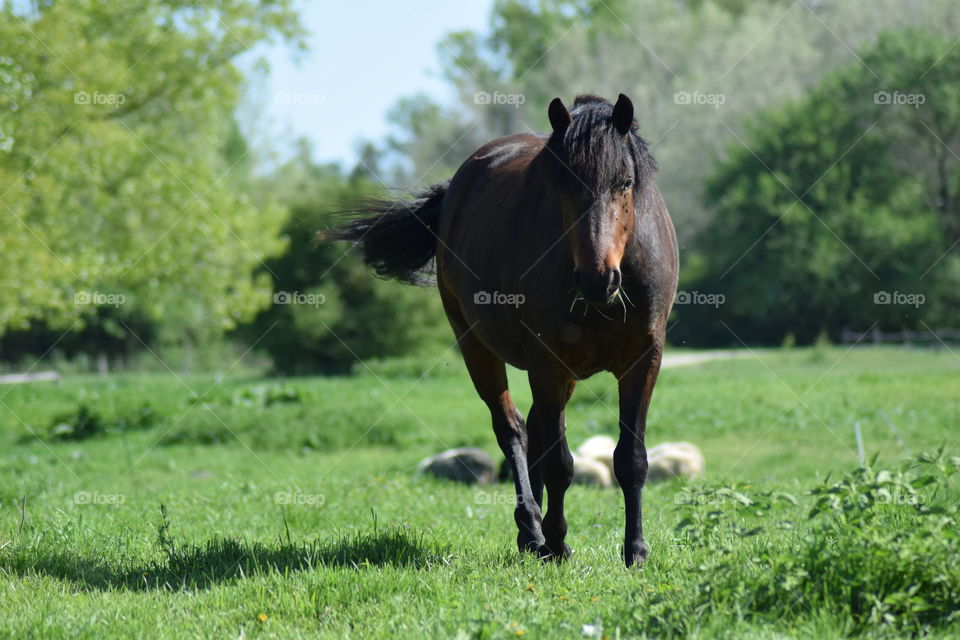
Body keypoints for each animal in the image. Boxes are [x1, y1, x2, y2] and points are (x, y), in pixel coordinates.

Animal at [323, 93, 678, 567]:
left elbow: (631, 458)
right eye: (563, 187)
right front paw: (557, 542)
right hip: (478, 348)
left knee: (533, 431)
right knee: (512, 429)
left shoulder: (642, 360)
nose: (596, 280)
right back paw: (532, 530)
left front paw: (635, 549)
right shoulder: (547, 362)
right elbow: (559, 462)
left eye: (624, 183)